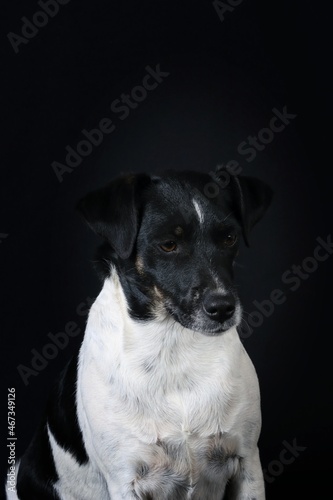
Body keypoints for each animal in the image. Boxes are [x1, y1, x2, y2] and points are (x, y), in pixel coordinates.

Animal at [11, 168, 272, 500]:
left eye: (229, 238)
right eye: (168, 244)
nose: (223, 307)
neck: (173, 346)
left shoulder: (247, 463)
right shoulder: (126, 479)